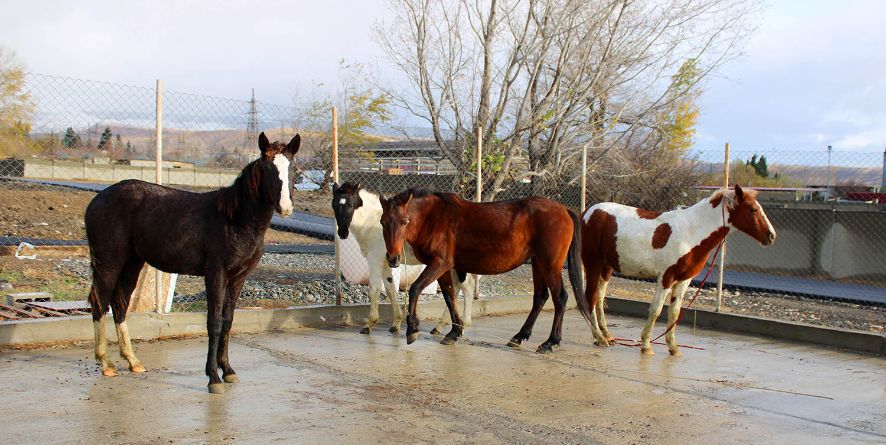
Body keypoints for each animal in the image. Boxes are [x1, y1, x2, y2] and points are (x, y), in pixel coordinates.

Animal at [86, 131, 302, 392]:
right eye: (267, 167)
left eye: (293, 168)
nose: (286, 207)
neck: (235, 219)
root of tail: (97, 200)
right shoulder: (215, 274)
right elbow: (214, 322)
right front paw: (213, 377)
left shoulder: (237, 279)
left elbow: (228, 321)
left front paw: (228, 370)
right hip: (109, 262)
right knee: (99, 302)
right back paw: (106, 363)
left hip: (132, 263)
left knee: (119, 304)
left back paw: (133, 361)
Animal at [332, 180, 478, 332]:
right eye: (334, 205)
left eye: (350, 205)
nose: (342, 233)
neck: (371, 221)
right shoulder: (387, 262)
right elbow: (390, 288)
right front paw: (396, 323)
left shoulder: (375, 260)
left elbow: (374, 289)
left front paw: (369, 324)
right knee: (458, 287)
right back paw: (442, 325)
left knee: (466, 286)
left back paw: (462, 323)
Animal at [380, 187, 584, 354]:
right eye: (383, 222)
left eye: (405, 221)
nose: (393, 258)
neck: (434, 218)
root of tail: (565, 210)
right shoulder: (443, 268)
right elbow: (449, 296)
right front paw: (454, 332)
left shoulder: (439, 263)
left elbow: (415, 288)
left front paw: (412, 329)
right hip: (537, 262)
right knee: (540, 298)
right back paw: (519, 337)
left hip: (550, 264)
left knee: (560, 297)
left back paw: (550, 342)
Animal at [576, 186, 776, 356]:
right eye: (753, 209)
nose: (771, 236)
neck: (691, 233)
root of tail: (587, 213)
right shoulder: (666, 277)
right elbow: (656, 310)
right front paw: (646, 345)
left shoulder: (684, 280)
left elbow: (674, 312)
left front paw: (673, 347)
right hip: (593, 263)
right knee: (591, 297)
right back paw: (599, 337)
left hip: (607, 267)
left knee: (600, 297)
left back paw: (607, 335)